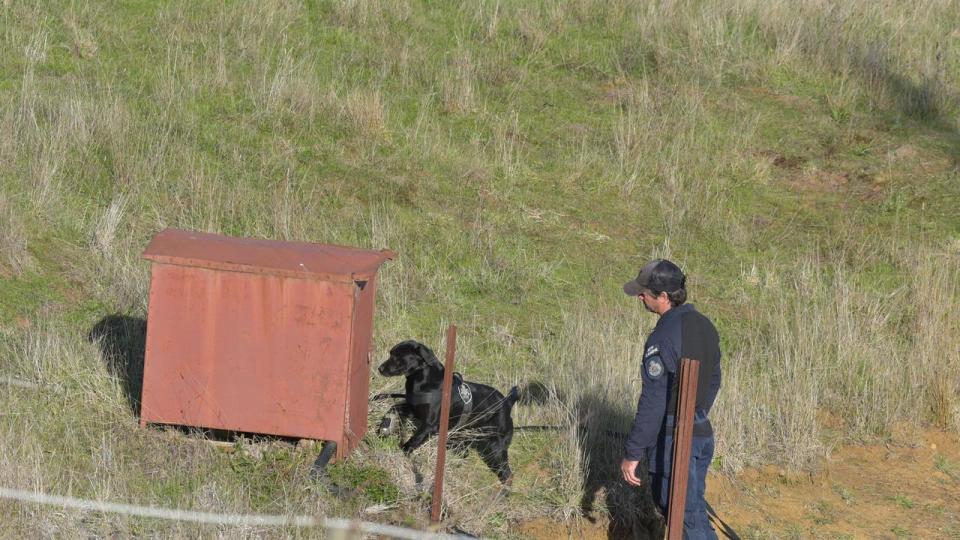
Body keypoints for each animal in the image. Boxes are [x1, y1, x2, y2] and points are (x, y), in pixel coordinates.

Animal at [378, 340, 520, 484]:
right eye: (391, 354)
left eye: (397, 357)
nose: (380, 368)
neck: (424, 381)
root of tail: (507, 403)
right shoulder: (413, 409)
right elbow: (393, 408)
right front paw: (385, 426)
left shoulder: (429, 425)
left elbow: (412, 442)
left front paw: (401, 453)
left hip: (497, 448)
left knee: (508, 474)